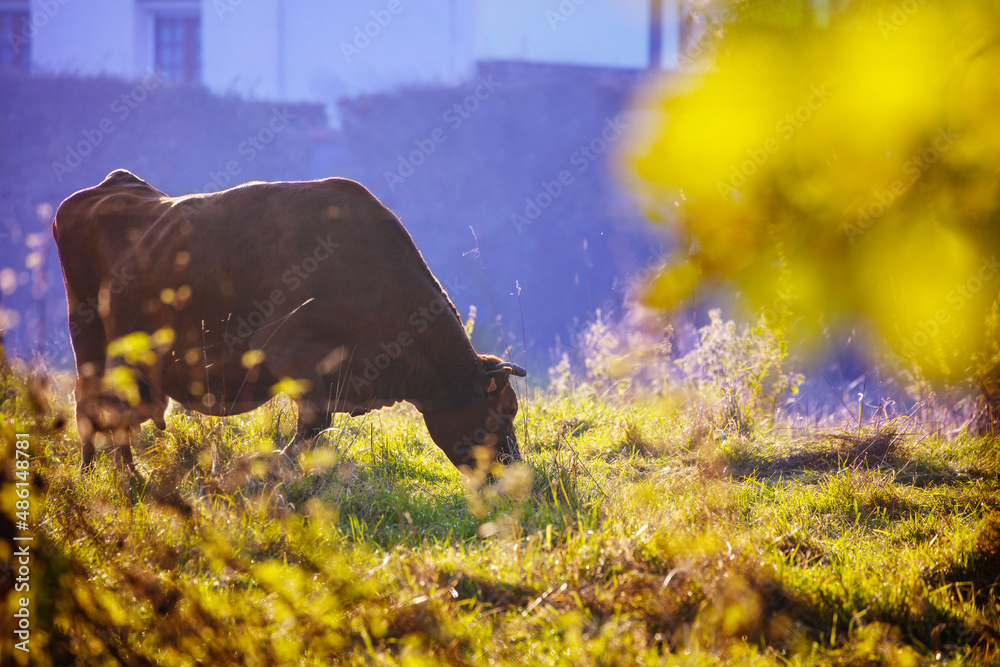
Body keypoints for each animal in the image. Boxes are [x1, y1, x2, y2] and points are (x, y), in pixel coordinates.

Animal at [51, 172, 528, 474]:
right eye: (505, 411)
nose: (515, 473)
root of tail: (110, 185)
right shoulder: (291, 357)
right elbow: (310, 430)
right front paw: (272, 465)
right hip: (87, 334)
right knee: (91, 402)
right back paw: (103, 476)